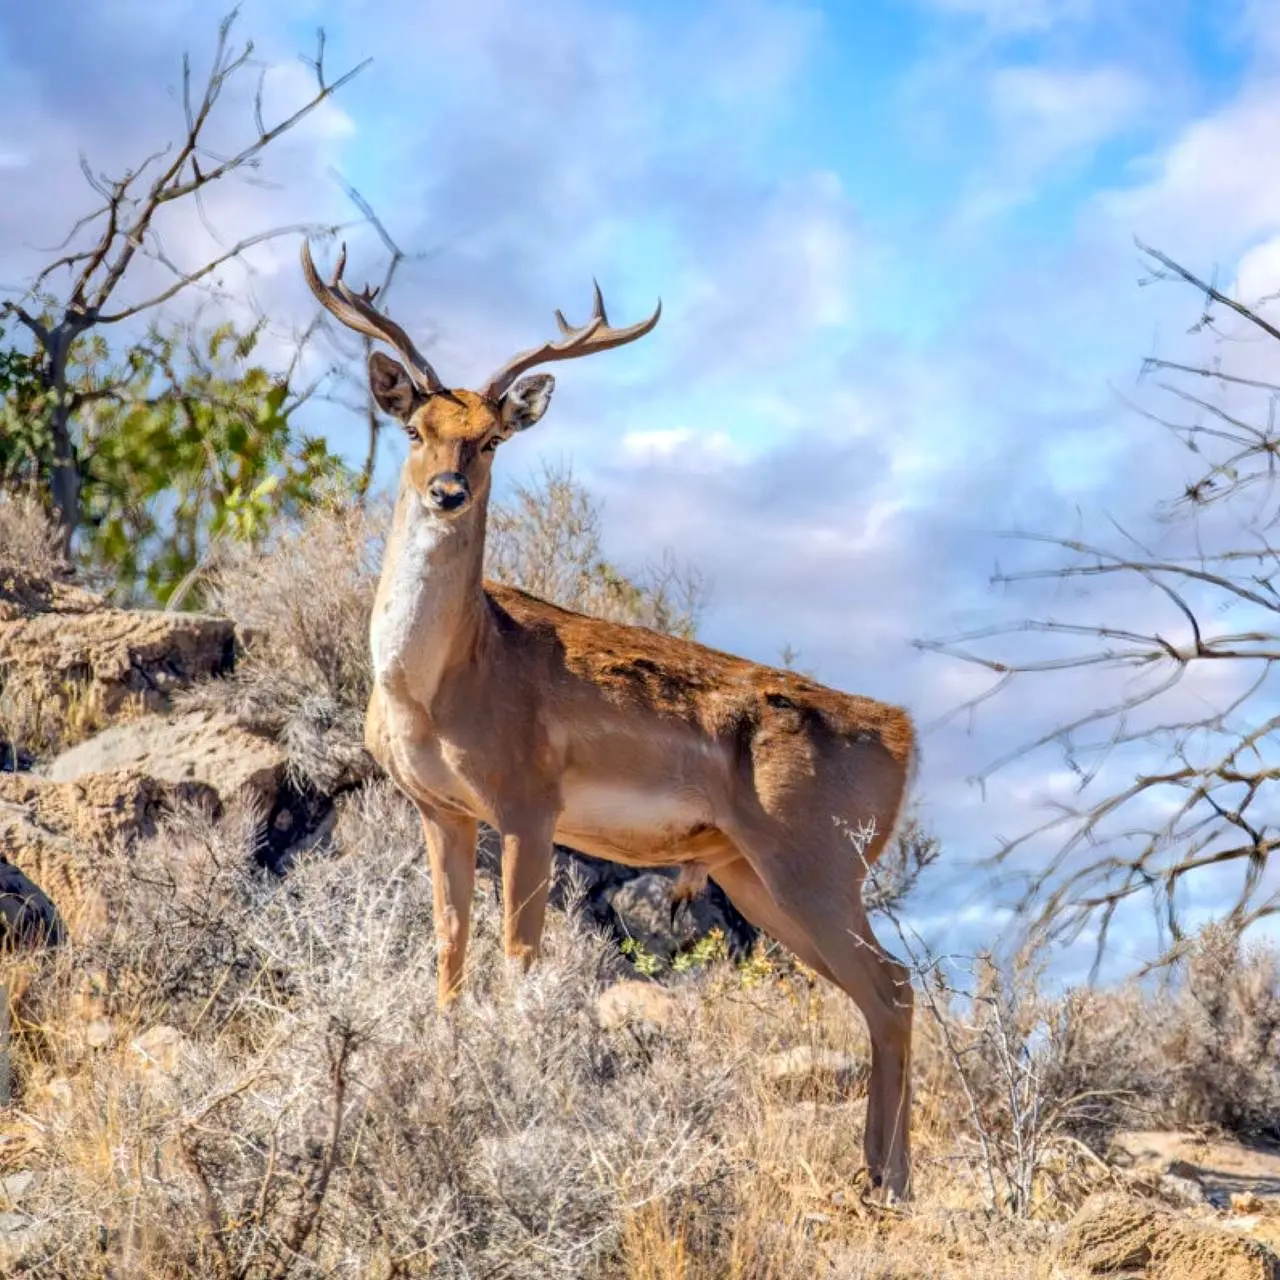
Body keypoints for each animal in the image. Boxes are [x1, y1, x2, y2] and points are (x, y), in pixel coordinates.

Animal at [299, 240, 921, 1198]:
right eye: (415, 429)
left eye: (490, 437)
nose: (446, 491)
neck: (439, 683)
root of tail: (903, 734)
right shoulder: (440, 808)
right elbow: (448, 949)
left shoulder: (528, 804)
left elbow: (519, 957)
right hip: (753, 874)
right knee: (887, 992)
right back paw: (885, 1179)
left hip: (817, 863)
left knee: (892, 987)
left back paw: (886, 1182)